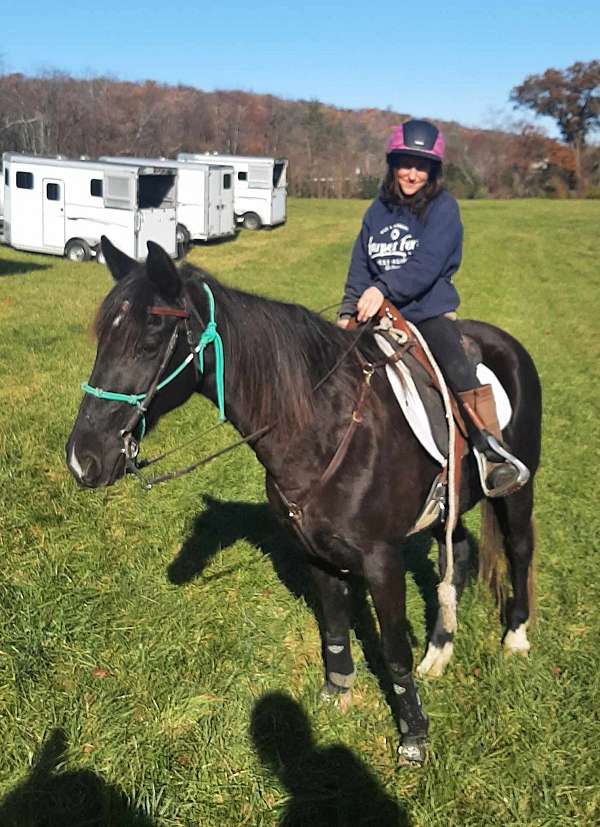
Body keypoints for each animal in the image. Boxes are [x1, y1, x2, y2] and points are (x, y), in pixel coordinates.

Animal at [68, 238, 540, 764]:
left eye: (150, 343)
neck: (326, 426)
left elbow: (394, 647)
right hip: (449, 507)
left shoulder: (382, 559)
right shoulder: (315, 549)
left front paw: (413, 733)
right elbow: (334, 626)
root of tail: (505, 342)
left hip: (519, 491)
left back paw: (515, 636)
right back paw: (439, 653)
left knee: (520, 551)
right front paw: (338, 693)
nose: (82, 460)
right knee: (453, 557)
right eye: (102, 340)